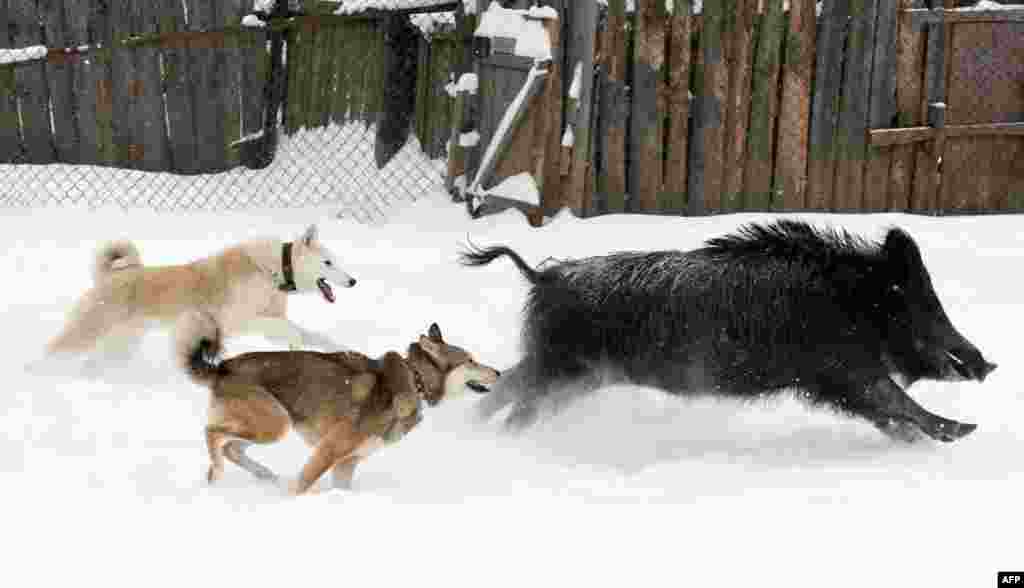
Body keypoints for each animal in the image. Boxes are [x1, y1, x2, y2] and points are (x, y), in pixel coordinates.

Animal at [177, 313, 503, 497]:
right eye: (471, 360)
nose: (500, 373)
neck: (415, 379)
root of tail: (223, 367)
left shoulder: (347, 462)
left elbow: (340, 487)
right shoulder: (330, 449)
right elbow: (302, 485)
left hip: (268, 426)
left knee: (230, 447)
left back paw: (254, 476)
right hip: (275, 424)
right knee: (213, 434)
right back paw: (220, 472)